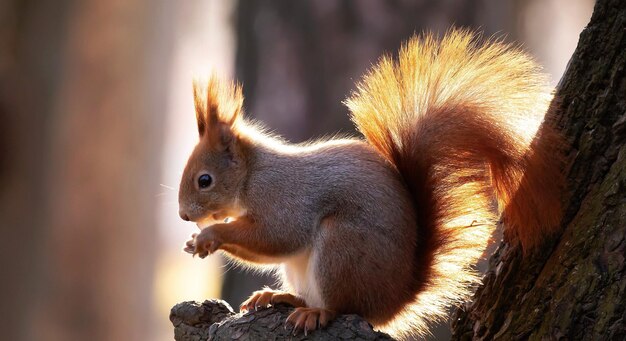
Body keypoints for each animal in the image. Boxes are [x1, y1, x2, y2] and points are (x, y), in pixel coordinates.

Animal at [178, 29, 564, 338]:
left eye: (205, 180)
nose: (183, 216)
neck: (252, 175)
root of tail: (395, 300)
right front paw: (197, 241)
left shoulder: (284, 198)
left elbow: (277, 236)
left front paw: (210, 236)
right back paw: (279, 295)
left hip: (342, 248)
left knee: (345, 306)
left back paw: (316, 312)